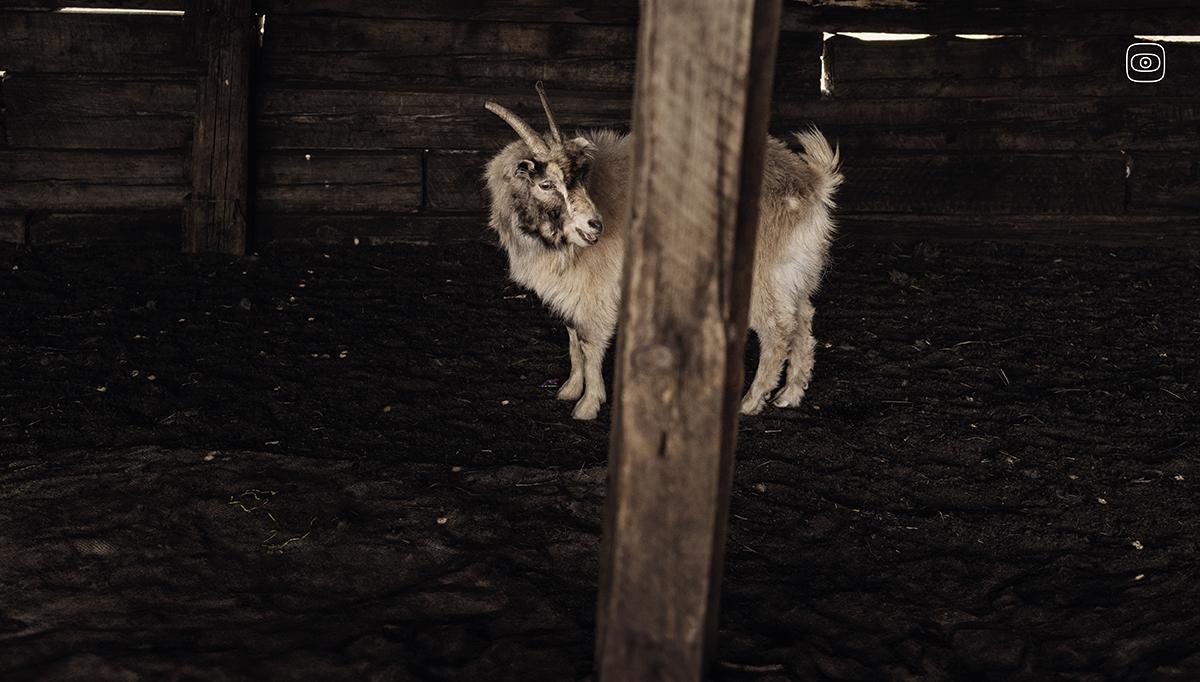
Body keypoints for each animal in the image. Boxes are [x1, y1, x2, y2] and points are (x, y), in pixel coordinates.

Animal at [484, 84, 842, 420]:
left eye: (582, 178)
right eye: (546, 184)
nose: (595, 225)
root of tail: (812, 183)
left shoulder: (597, 289)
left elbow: (590, 343)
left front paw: (588, 404)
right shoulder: (571, 291)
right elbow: (573, 337)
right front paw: (570, 389)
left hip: (762, 274)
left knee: (777, 330)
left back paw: (751, 401)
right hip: (793, 271)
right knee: (802, 317)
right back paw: (790, 394)